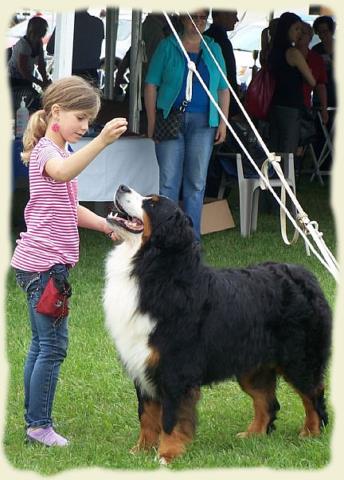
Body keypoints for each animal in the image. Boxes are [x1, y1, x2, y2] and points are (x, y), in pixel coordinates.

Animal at [103, 184, 332, 464]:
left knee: (313, 394)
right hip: (252, 366)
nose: (122, 186)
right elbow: (146, 414)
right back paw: (253, 434)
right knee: (267, 401)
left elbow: (171, 417)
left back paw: (310, 431)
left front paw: (167, 454)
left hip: (299, 358)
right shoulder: (143, 363)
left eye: (152, 203)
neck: (154, 271)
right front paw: (140, 451)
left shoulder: (174, 368)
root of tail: (305, 275)